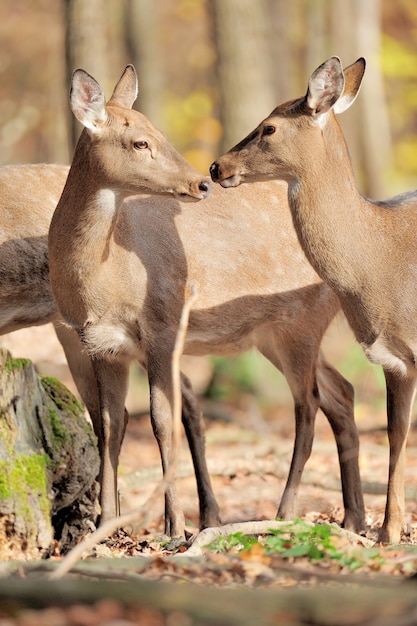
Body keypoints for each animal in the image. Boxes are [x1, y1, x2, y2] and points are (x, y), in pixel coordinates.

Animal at [46, 64, 364, 536]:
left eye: (158, 132)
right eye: (140, 141)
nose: (201, 181)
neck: (102, 281)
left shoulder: (162, 325)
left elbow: (162, 421)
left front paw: (174, 526)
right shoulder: (102, 345)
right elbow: (109, 425)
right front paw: (107, 524)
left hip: (301, 323)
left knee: (309, 405)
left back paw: (287, 513)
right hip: (272, 335)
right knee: (341, 392)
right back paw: (354, 517)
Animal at [210, 54, 416, 540]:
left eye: (268, 127)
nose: (216, 167)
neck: (384, 259)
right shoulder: (394, 359)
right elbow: (396, 437)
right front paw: (387, 531)